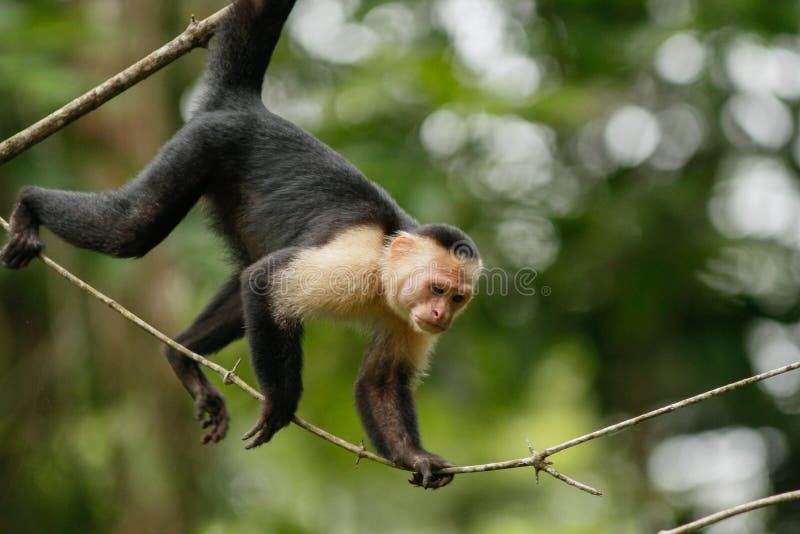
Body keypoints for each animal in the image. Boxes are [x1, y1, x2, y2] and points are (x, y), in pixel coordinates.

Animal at [0, 0, 481, 489]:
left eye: (457, 298)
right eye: (438, 289)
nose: (441, 317)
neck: (384, 272)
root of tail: (246, 106)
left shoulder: (406, 319)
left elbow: (377, 383)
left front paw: (415, 457)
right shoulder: (353, 259)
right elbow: (266, 283)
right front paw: (282, 403)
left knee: (238, 287)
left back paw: (180, 356)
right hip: (202, 145)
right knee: (133, 229)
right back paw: (28, 206)